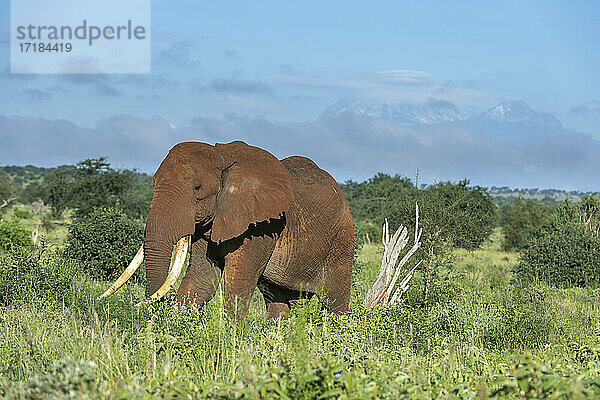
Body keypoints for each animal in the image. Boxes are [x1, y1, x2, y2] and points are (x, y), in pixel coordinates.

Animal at [97, 141, 352, 318]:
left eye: (197, 188)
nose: (139, 306)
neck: (221, 155)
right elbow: (201, 280)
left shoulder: (262, 225)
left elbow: (237, 283)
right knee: (281, 303)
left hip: (342, 240)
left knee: (335, 302)